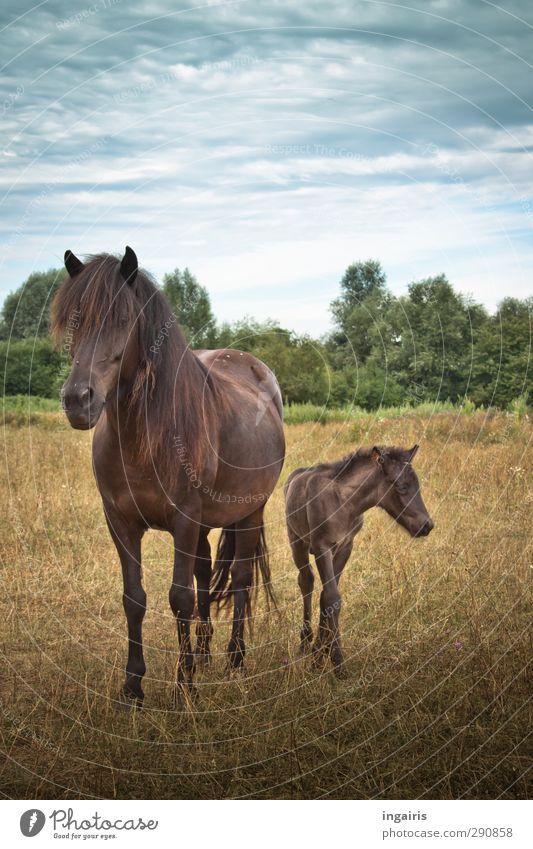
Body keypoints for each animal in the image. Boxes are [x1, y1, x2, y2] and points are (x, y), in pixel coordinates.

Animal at [52, 248, 284, 704]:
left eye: (123, 319)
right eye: (73, 318)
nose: (77, 400)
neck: (142, 438)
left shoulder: (184, 520)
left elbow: (179, 597)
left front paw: (184, 689)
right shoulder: (120, 522)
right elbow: (135, 598)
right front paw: (133, 687)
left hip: (249, 512)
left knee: (241, 579)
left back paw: (234, 661)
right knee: (205, 575)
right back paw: (206, 655)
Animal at [284, 444, 430, 676]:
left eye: (418, 485)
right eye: (401, 487)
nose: (427, 525)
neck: (345, 503)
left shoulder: (346, 546)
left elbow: (327, 598)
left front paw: (319, 657)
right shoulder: (322, 547)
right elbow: (332, 597)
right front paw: (337, 662)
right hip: (296, 540)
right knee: (305, 580)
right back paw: (304, 643)